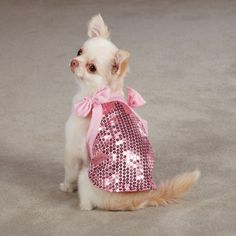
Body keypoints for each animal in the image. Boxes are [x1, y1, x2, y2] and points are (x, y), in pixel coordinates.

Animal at [60, 14, 200, 210]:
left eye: (92, 68)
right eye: (79, 51)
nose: (74, 61)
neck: (98, 95)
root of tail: (139, 198)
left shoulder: (73, 150)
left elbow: (70, 172)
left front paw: (66, 187)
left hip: (86, 178)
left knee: (87, 201)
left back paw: (82, 203)